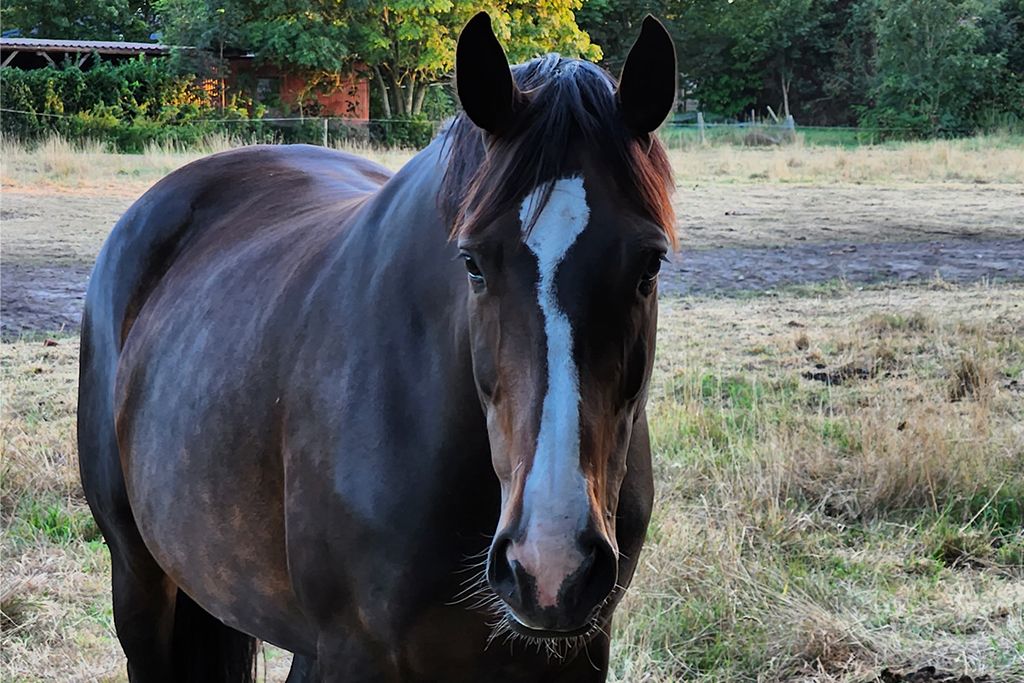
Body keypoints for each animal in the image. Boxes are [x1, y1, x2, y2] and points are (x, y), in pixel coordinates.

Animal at [77, 12, 679, 683]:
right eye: (473, 263)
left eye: (650, 265)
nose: (551, 568)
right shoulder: (356, 652)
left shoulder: (576, 652)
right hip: (139, 579)